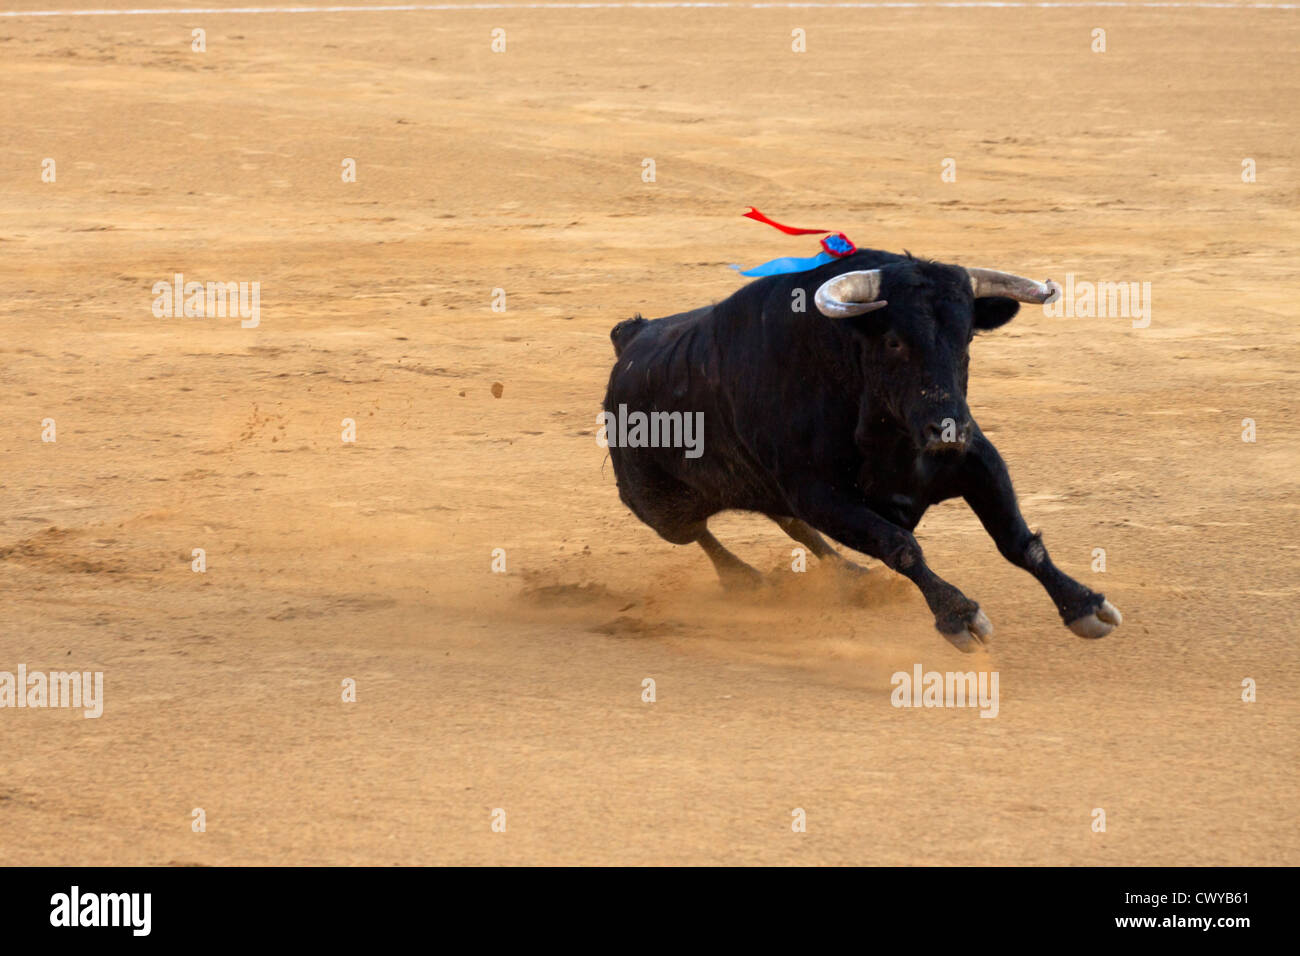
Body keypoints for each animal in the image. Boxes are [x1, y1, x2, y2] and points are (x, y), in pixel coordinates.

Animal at [603, 247, 1123, 655]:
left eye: (967, 338)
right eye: (894, 341)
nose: (947, 430)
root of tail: (631, 338)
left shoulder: (976, 458)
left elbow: (1017, 539)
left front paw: (1085, 606)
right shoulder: (820, 495)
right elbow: (901, 546)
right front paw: (959, 616)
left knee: (790, 525)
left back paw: (852, 576)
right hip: (659, 507)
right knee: (701, 534)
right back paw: (748, 580)